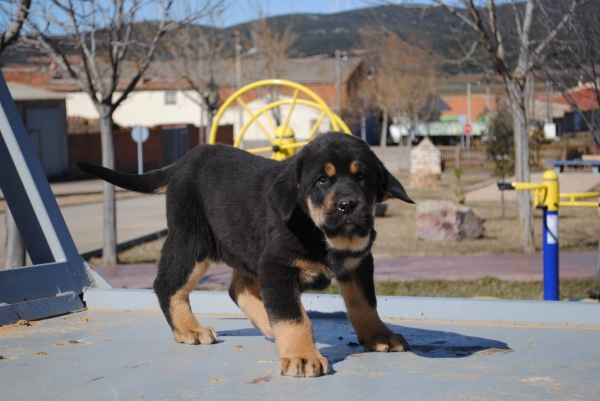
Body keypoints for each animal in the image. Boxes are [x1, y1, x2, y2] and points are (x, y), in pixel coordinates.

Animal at [78, 133, 412, 376]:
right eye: (321, 180)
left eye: (363, 177)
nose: (347, 205)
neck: (323, 234)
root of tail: (184, 161)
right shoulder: (277, 267)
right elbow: (294, 316)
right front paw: (303, 356)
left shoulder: (358, 264)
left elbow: (365, 304)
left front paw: (379, 336)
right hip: (192, 242)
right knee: (168, 285)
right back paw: (189, 329)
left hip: (244, 245)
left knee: (237, 287)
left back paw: (265, 324)